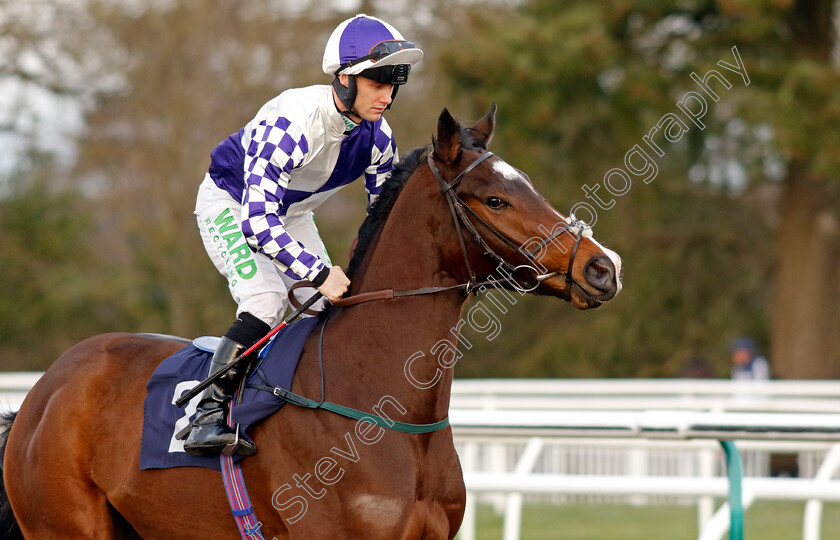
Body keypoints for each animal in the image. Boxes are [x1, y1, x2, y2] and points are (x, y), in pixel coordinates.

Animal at [0, 105, 616, 540]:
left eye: (528, 185)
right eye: (494, 200)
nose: (603, 267)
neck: (382, 406)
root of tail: (43, 390)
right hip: (64, 526)